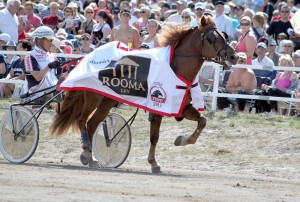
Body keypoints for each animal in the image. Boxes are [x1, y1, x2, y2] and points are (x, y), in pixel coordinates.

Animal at [49, 16, 239, 173]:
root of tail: (88, 55)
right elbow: (154, 137)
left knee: (92, 124)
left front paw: (180, 141)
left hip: (107, 100)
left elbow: (202, 121)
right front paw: (154, 162)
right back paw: (86, 153)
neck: (174, 67)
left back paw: (91, 157)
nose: (234, 56)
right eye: (213, 38)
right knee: (82, 120)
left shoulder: (182, 106)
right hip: (93, 96)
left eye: (224, 36)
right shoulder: (158, 106)